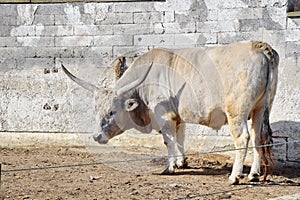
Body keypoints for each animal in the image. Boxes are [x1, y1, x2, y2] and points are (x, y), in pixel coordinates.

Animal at [62, 41, 280, 184]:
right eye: (95, 110)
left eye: (112, 111)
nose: (96, 136)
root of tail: (259, 46)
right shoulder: (178, 115)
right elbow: (180, 137)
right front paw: (181, 162)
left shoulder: (164, 114)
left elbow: (169, 140)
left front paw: (170, 167)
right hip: (260, 109)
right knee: (258, 137)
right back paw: (253, 174)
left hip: (236, 112)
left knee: (243, 138)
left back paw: (235, 176)